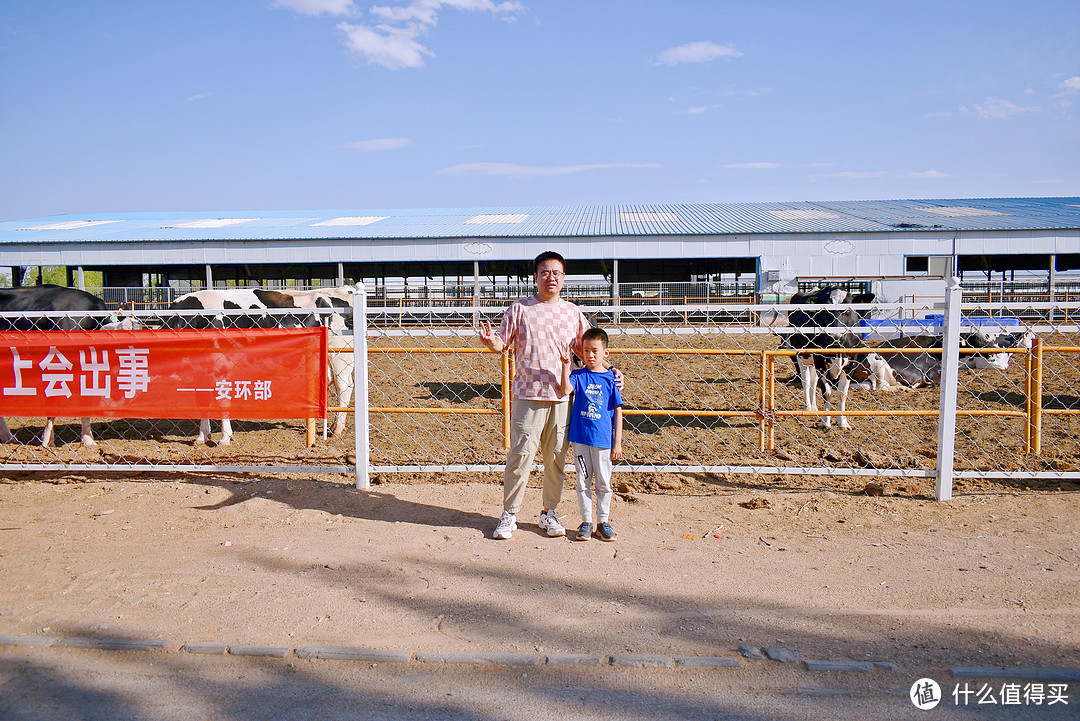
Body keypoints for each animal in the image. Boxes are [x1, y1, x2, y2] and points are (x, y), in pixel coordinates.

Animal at [166, 284, 356, 444]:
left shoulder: (221, 367)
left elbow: (222, 402)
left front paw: (225, 438)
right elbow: (202, 403)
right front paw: (202, 436)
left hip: (340, 357)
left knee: (344, 387)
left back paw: (337, 429)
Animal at [786, 287, 876, 427]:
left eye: (847, 310)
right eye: (825, 311)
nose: (835, 337)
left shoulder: (852, 361)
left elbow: (842, 394)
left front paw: (843, 422)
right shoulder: (820, 360)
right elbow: (827, 393)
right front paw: (825, 422)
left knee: (813, 382)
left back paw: (814, 407)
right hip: (802, 356)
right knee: (806, 381)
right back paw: (807, 407)